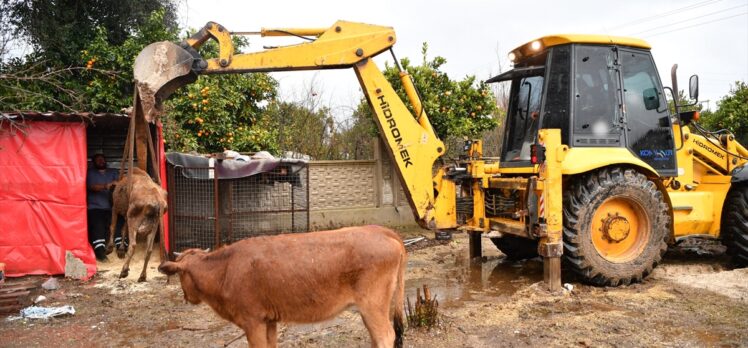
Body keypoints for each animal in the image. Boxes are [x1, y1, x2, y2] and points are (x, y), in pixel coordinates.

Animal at [156, 226, 404, 348]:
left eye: (180, 275)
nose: (187, 297)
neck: (225, 269)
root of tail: (382, 230)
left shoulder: (252, 321)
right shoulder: (269, 320)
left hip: (373, 304)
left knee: (385, 336)